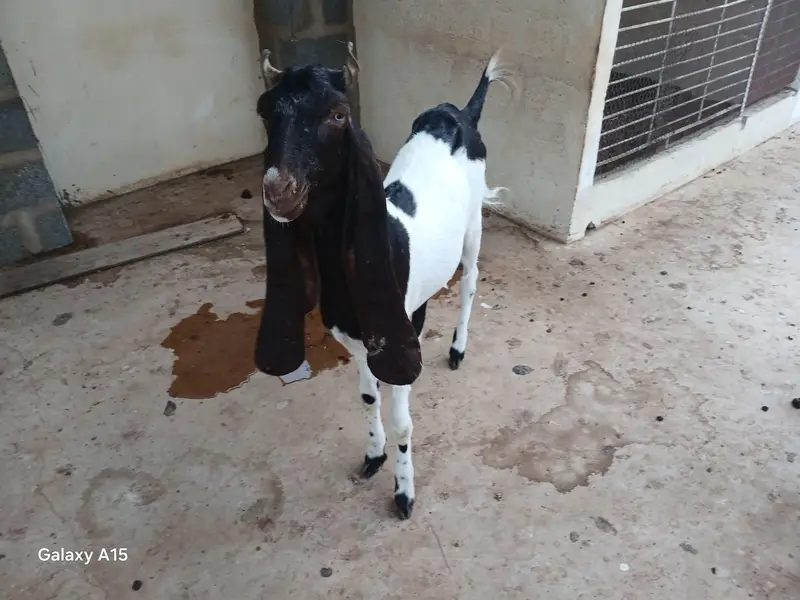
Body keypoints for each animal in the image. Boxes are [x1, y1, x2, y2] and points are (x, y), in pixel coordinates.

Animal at [253, 43, 512, 519]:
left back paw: (457, 348)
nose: (279, 190)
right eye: (264, 112)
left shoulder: (397, 339)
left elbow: (402, 420)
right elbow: (368, 398)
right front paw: (374, 454)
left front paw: (404, 491)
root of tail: (459, 113)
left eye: (338, 114)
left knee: (469, 281)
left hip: (473, 226)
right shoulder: (356, 342)